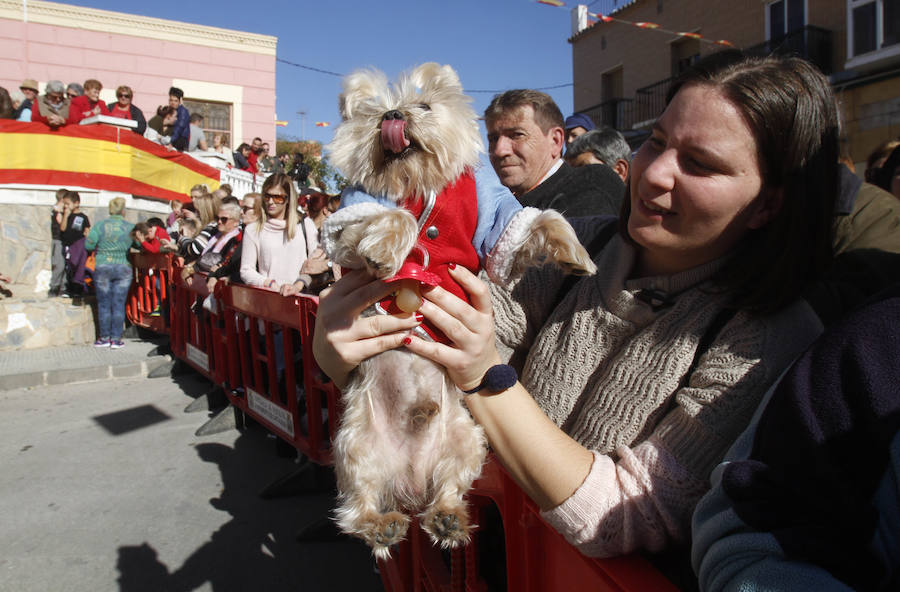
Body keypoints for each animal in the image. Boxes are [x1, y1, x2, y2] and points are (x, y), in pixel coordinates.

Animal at [324, 62, 596, 556]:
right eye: (373, 114)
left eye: (424, 106)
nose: (392, 115)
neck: (416, 181)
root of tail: (410, 482)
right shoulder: (348, 220)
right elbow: (393, 217)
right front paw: (388, 247)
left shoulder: (495, 226)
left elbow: (536, 222)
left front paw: (575, 254)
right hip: (354, 445)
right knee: (356, 507)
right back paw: (382, 525)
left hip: (467, 441)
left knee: (447, 488)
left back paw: (447, 518)